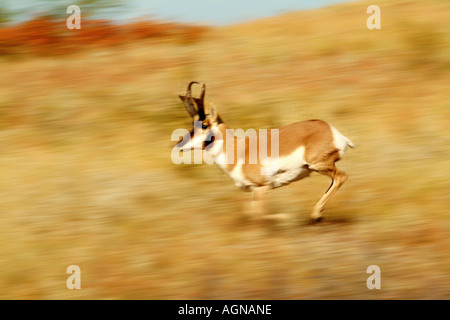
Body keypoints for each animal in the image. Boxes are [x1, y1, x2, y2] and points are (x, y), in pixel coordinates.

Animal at [175, 81, 356, 221]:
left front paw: (286, 217)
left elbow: (258, 214)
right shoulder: (254, 191)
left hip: (318, 165)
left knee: (341, 177)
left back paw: (315, 215)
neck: (239, 151)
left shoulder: (262, 187)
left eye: (204, 125)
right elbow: (250, 213)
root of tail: (331, 130)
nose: (179, 144)